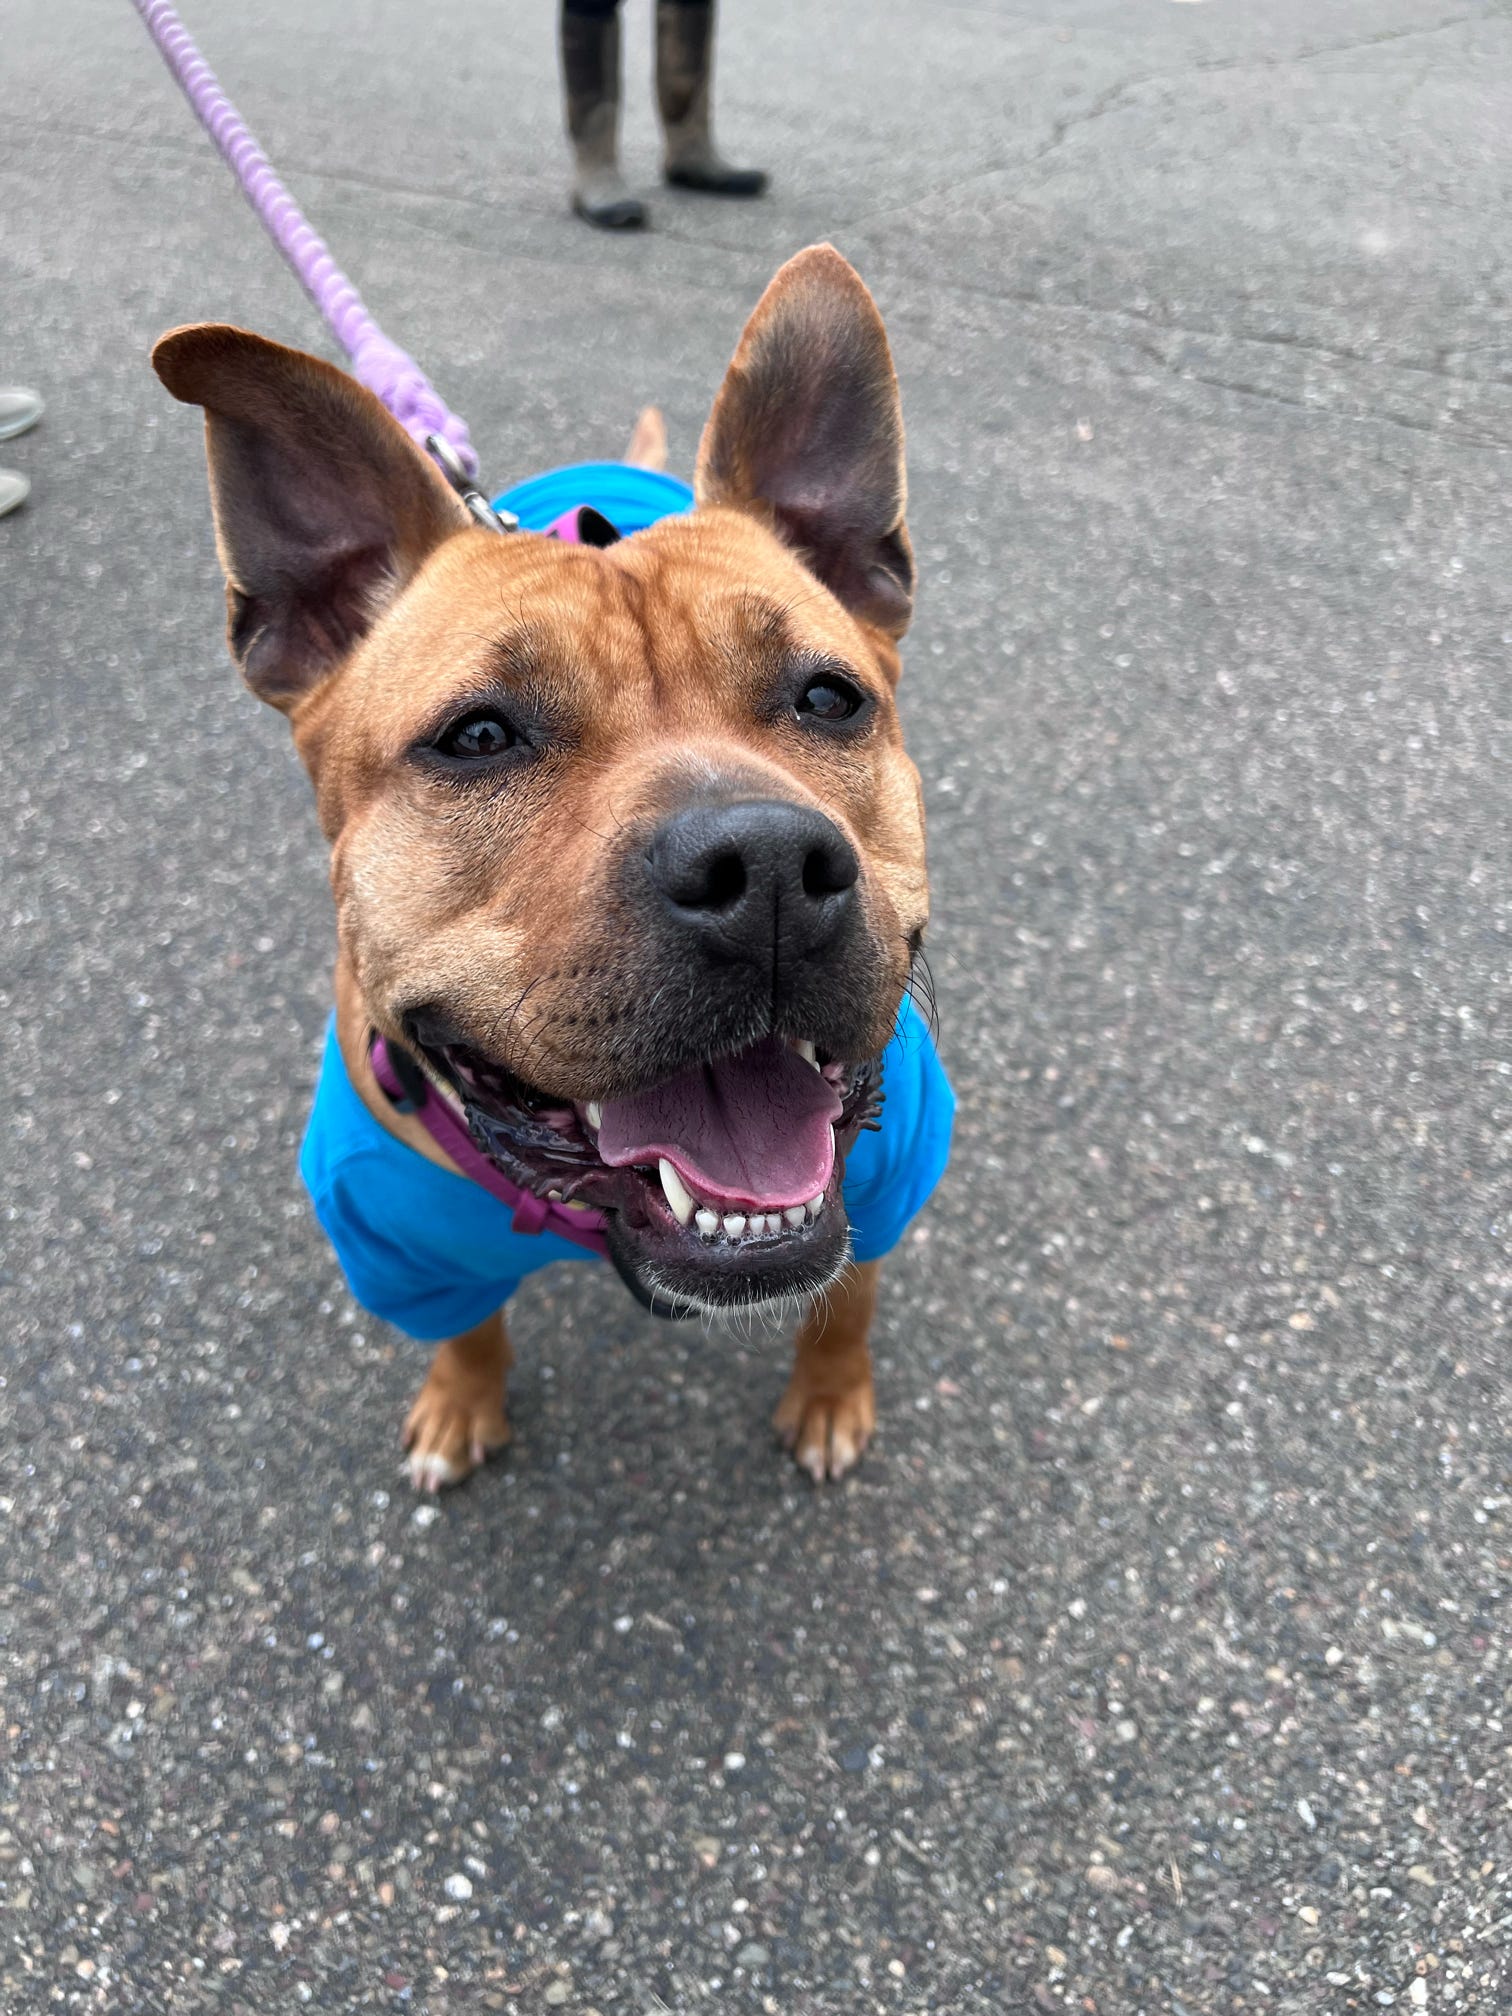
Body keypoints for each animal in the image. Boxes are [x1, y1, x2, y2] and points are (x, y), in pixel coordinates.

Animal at [154, 247, 935, 1483]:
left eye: (828, 699)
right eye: (477, 736)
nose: (765, 867)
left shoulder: (884, 1185)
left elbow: (845, 1302)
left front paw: (829, 1393)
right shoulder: (402, 1246)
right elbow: (469, 1331)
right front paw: (461, 1403)